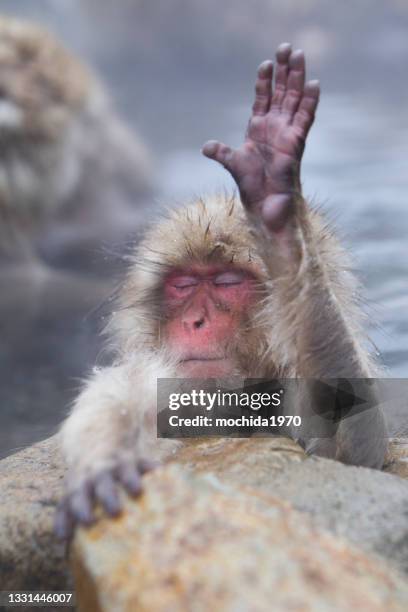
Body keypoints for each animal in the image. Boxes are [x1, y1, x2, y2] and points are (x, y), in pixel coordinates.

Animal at [55, 45, 388, 536]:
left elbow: (352, 453)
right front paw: (106, 462)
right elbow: (114, 397)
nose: (197, 321)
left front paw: (283, 233)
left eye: (228, 282)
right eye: (184, 284)